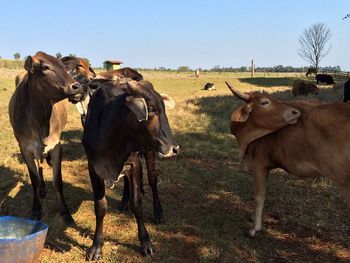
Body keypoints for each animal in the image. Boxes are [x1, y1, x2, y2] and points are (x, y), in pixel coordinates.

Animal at [9, 52, 83, 225]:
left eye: (63, 67)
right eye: (45, 68)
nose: (77, 86)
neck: (40, 120)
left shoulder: (56, 146)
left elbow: (57, 181)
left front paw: (66, 212)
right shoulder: (25, 148)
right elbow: (34, 179)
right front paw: (36, 209)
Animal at [83, 79, 179, 260]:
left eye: (163, 108)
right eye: (152, 110)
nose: (174, 148)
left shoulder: (135, 164)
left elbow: (137, 205)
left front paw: (146, 243)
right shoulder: (93, 167)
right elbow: (100, 207)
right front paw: (96, 247)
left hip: (149, 153)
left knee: (153, 181)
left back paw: (158, 213)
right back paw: (123, 201)